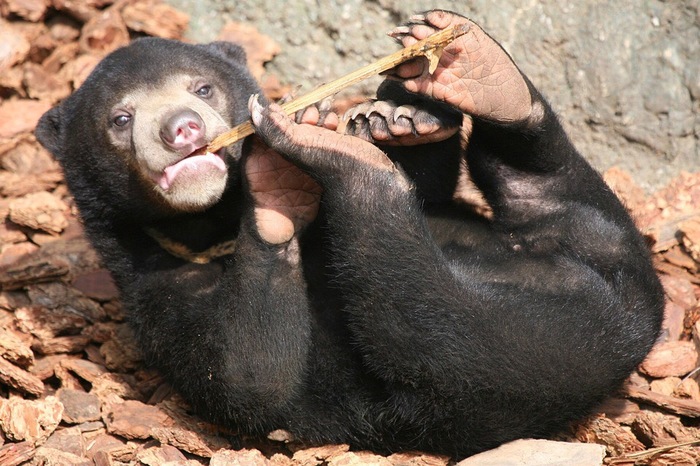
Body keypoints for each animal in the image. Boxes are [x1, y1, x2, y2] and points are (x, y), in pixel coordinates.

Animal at [35, 9, 664, 460]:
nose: (182, 130)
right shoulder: (154, 291)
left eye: (203, 89)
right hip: (521, 355)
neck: (213, 224)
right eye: (120, 120)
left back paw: (480, 72)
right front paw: (279, 182)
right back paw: (340, 157)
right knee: (428, 314)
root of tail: (626, 319)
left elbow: (433, 187)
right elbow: (246, 375)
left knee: (545, 179)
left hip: (593, 241)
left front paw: (399, 119)